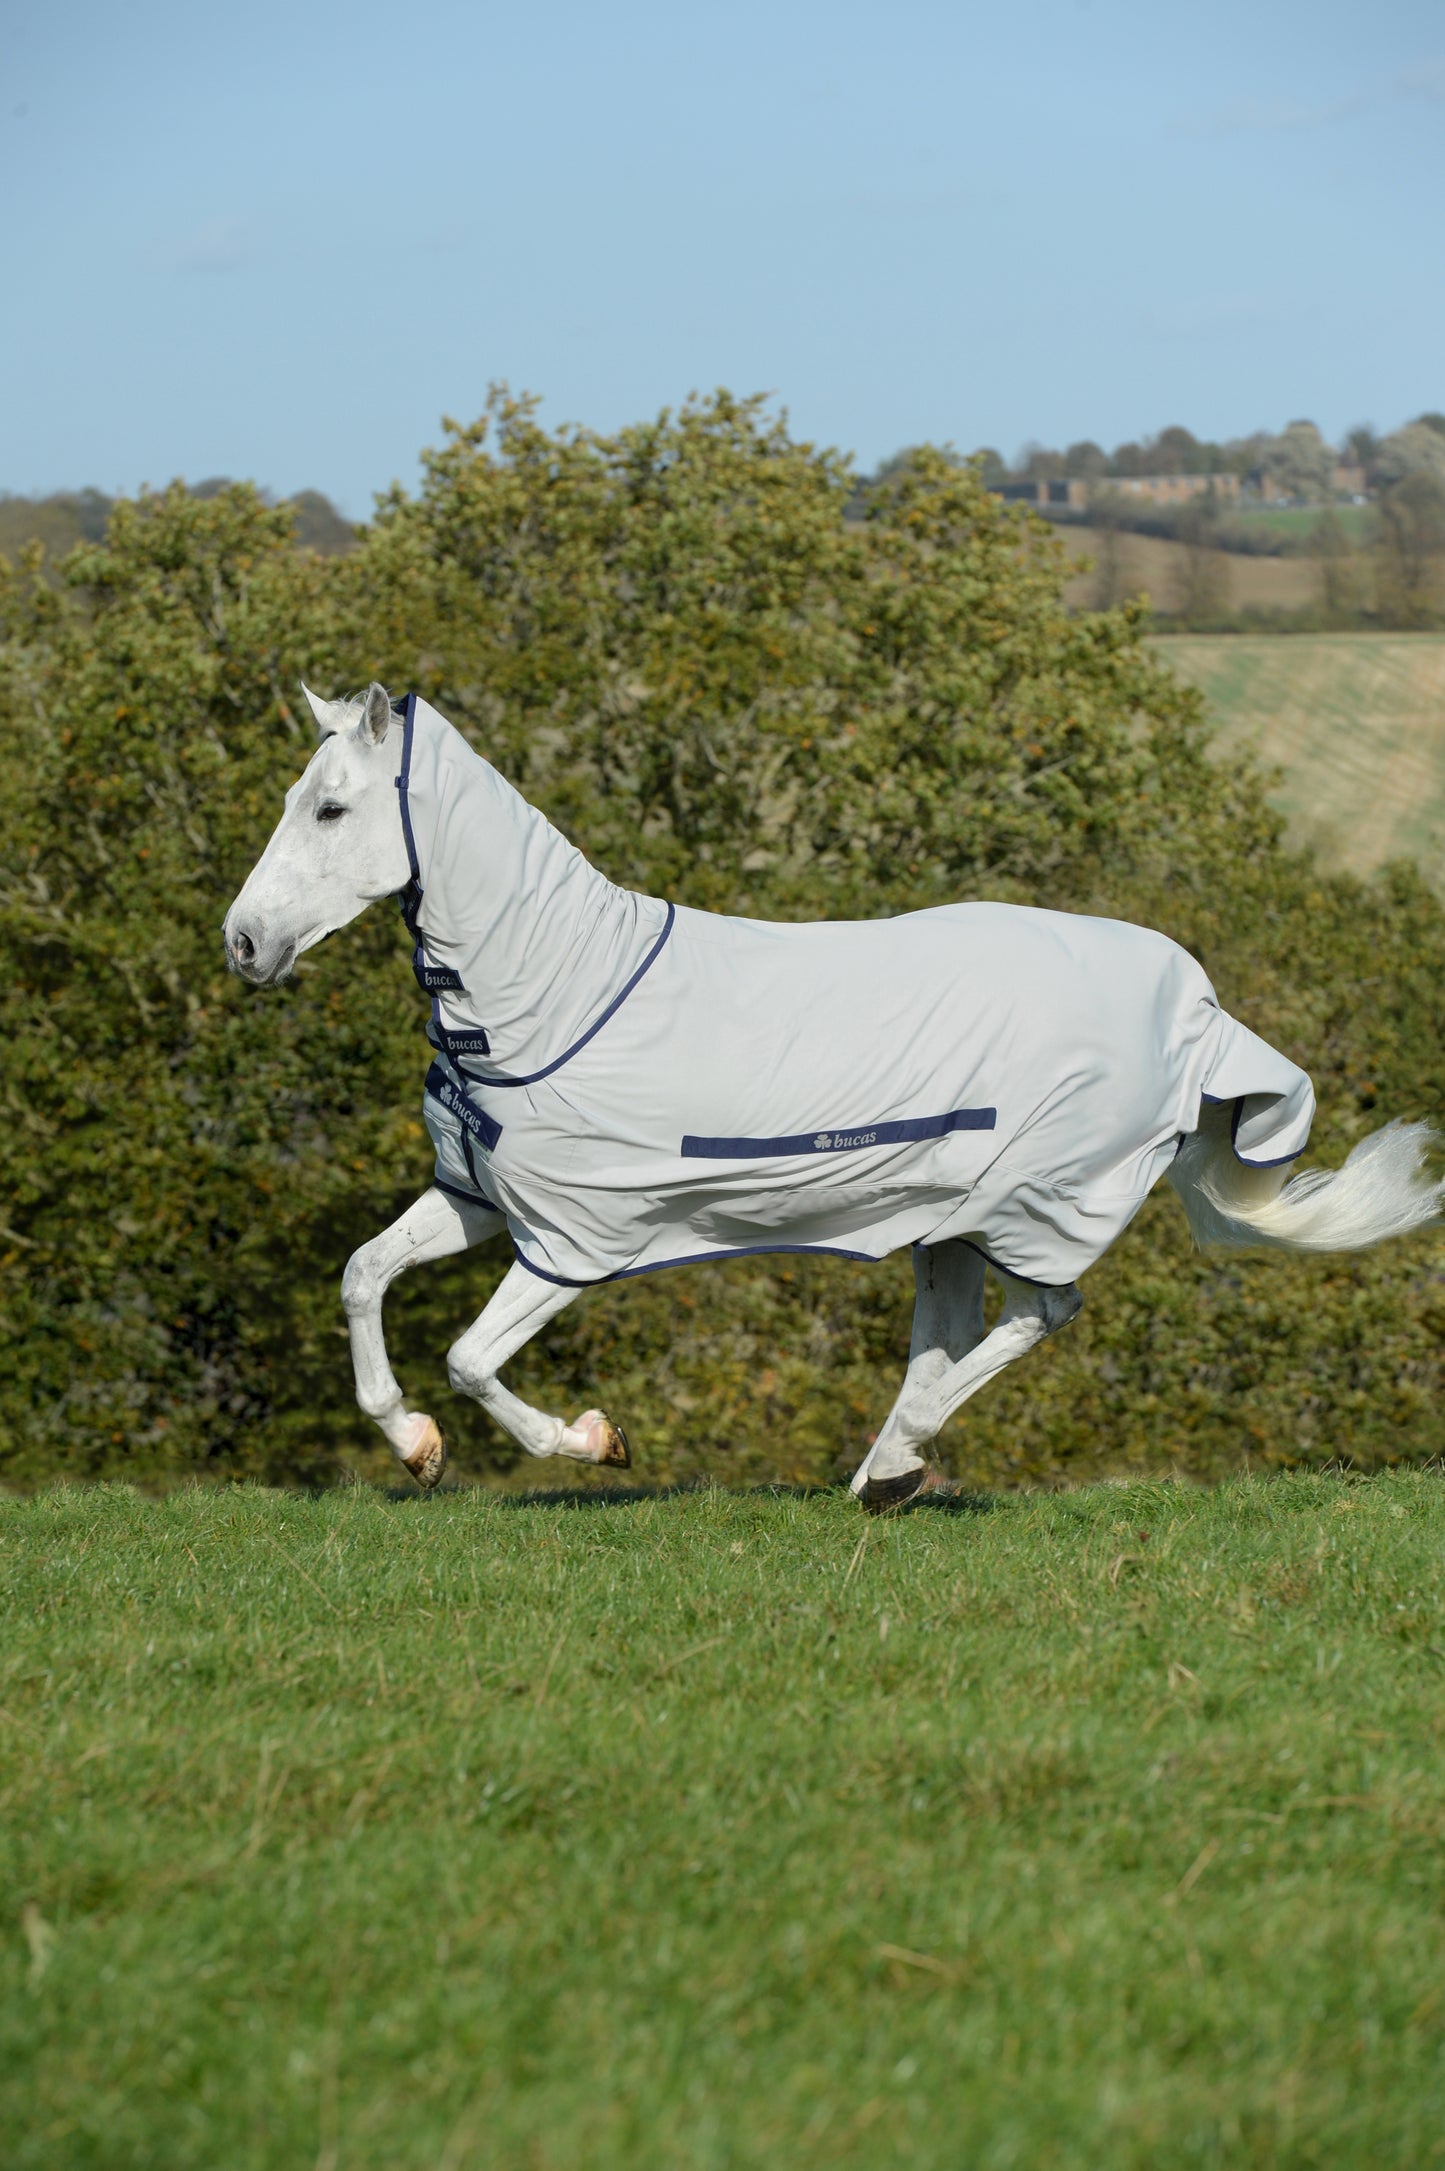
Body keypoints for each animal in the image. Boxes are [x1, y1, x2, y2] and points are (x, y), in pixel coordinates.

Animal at [223, 682, 1443, 1511]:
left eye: (329, 810)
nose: (242, 942)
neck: (555, 993)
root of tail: (1195, 1006)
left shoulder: (579, 1234)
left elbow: (473, 1358)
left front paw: (596, 1439)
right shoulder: (479, 1196)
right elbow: (361, 1275)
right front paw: (414, 1444)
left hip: (1034, 1202)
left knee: (1042, 1313)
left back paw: (895, 1461)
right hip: (948, 1219)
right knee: (949, 1334)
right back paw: (882, 1472)